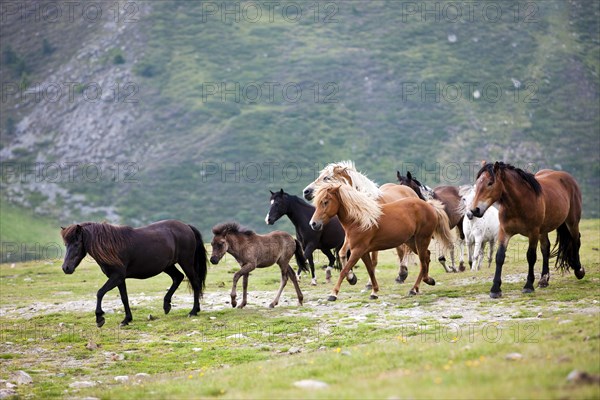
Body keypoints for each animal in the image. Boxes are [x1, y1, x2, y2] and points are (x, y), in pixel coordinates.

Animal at [59, 220, 207, 326]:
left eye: (76, 244)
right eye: (66, 244)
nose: (66, 268)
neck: (111, 246)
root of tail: (186, 227)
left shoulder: (116, 277)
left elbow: (100, 292)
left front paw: (99, 318)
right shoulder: (119, 279)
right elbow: (124, 298)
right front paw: (127, 320)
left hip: (186, 262)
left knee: (195, 283)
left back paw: (193, 311)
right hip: (168, 266)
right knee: (178, 277)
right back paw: (167, 305)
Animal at [312, 184, 452, 300]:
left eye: (325, 202)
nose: (313, 224)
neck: (360, 220)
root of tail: (429, 205)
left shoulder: (357, 251)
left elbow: (344, 271)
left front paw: (333, 294)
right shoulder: (363, 252)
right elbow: (370, 270)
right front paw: (374, 292)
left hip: (421, 239)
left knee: (423, 262)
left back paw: (414, 288)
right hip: (412, 242)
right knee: (427, 257)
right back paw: (426, 282)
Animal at [466, 162, 584, 296]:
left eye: (490, 183)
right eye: (477, 183)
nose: (475, 210)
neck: (519, 203)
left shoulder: (533, 233)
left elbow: (531, 256)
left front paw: (528, 286)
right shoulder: (504, 232)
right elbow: (500, 257)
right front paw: (495, 289)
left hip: (572, 222)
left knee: (576, 241)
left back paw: (579, 270)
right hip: (543, 230)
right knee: (546, 248)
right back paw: (544, 279)